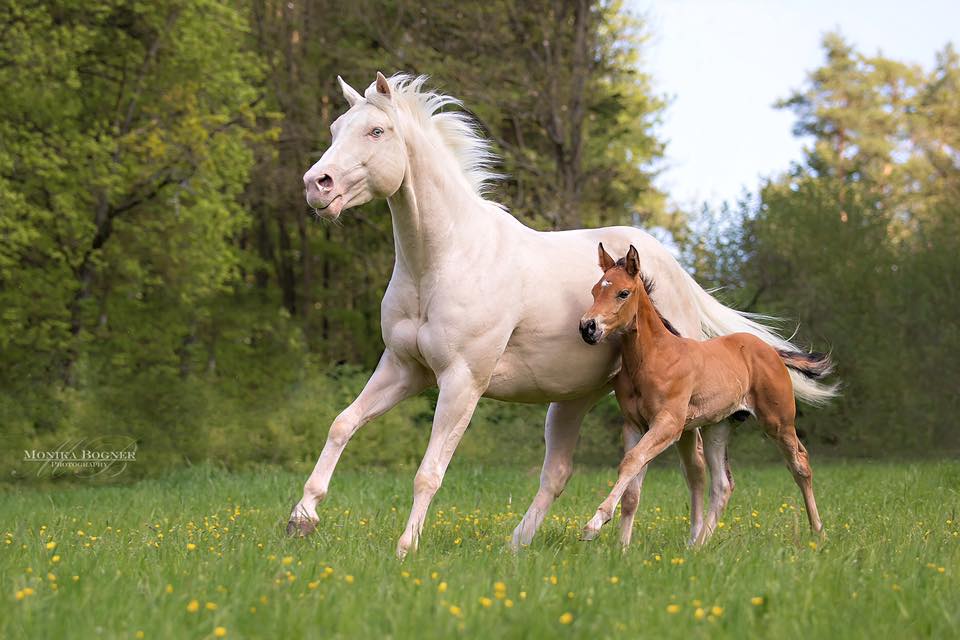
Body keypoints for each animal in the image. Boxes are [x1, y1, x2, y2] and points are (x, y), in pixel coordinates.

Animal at [576, 245, 832, 544]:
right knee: (723, 484)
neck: (654, 357)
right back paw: (698, 545)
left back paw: (818, 533)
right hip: (718, 427)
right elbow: (632, 487)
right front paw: (622, 547)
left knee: (800, 465)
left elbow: (631, 462)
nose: (588, 327)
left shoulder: (669, 424)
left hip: (778, 422)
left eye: (623, 293)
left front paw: (594, 524)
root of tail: (769, 349)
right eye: (595, 290)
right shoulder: (634, 425)